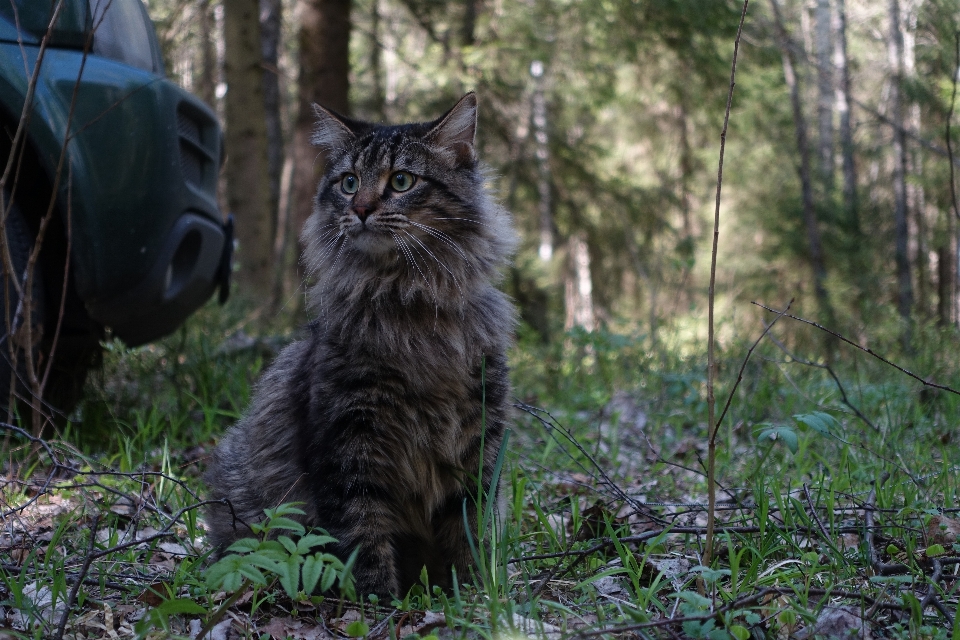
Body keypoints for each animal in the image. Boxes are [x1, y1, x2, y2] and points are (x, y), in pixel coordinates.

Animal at [205, 92, 512, 596]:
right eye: (349, 183)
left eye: (402, 180)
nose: (363, 208)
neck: (408, 304)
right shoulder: (349, 437)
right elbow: (362, 532)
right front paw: (380, 601)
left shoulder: (479, 433)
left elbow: (471, 526)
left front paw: (472, 595)